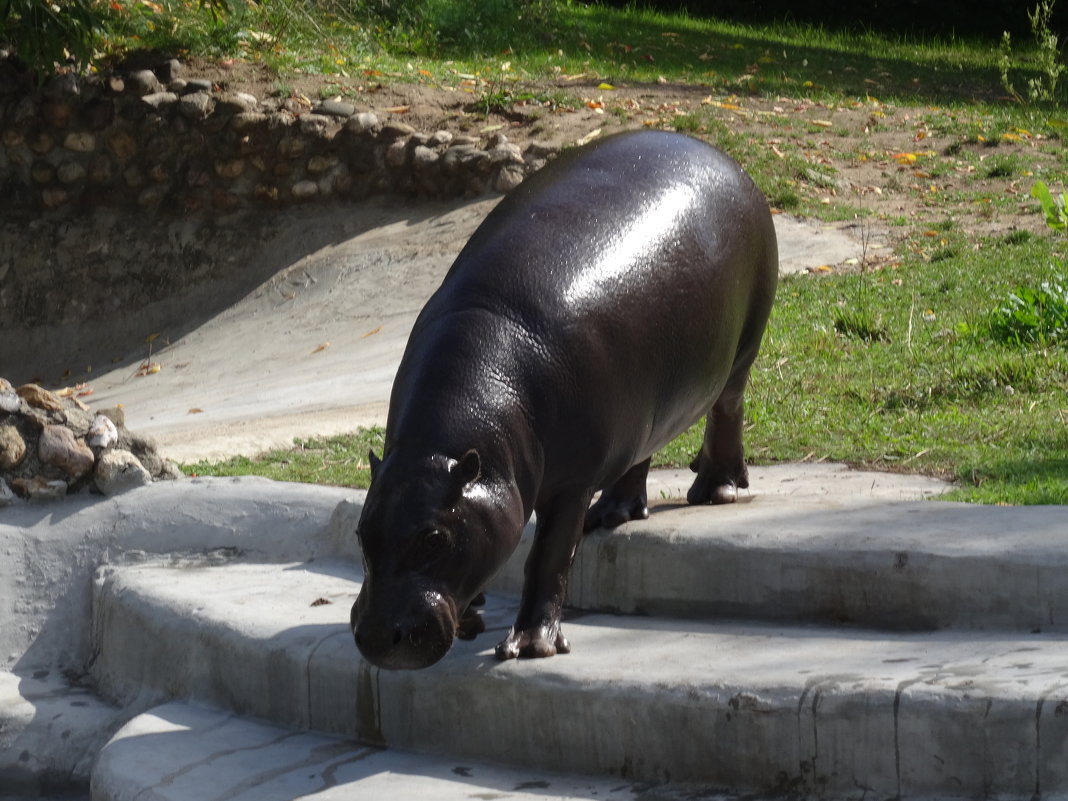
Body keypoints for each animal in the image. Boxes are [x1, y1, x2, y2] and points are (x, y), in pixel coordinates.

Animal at [350, 130, 777, 670]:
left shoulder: (571, 482)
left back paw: (716, 490)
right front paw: (474, 613)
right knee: (640, 449)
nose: (376, 636)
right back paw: (613, 513)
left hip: (743, 349)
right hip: (644, 401)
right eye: (362, 533)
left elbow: (548, 557)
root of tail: (718, 154)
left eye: (433, 538)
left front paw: (531, 647)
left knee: (727, 410)